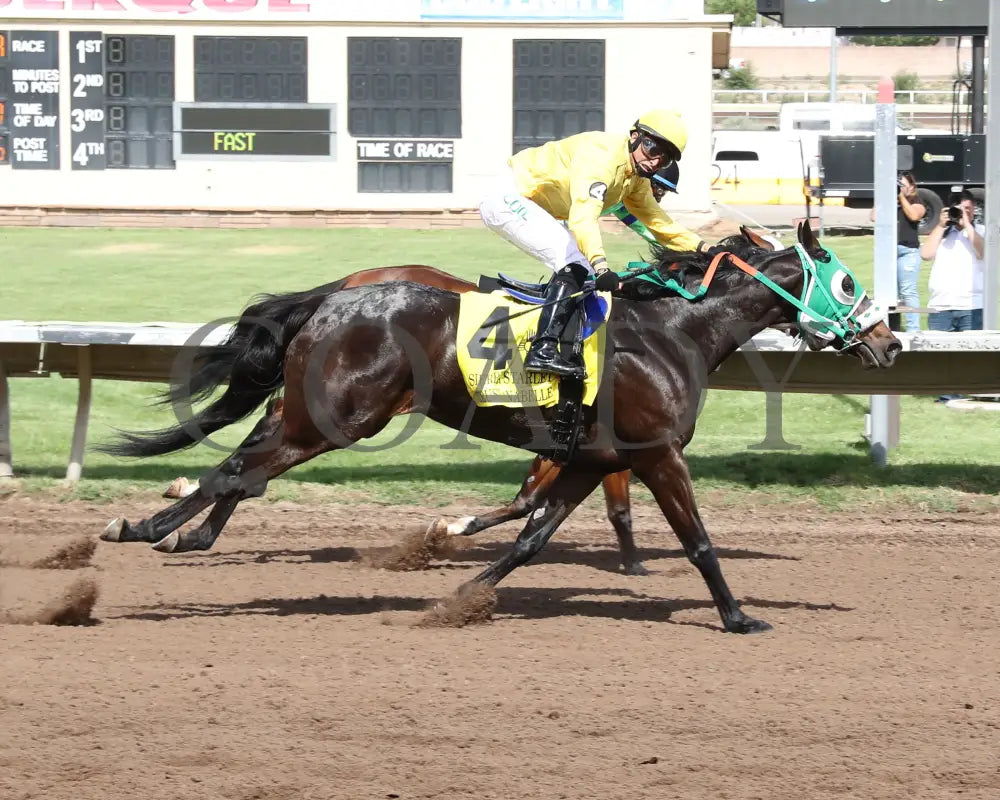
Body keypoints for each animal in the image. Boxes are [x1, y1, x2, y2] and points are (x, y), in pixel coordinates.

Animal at [101, 223, 900, 632]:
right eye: (849, 281)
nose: (889, 342)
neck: (674, 332)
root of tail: (335, 296)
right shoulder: (655, 453)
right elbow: (697, 540)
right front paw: (738, 617)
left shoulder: (588, 458)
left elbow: (530, 537)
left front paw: (460, 596)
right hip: (337, 418)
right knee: (238, 468)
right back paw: (142, 528)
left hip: (313, 410)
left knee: (247, 464)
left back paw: (181, 531)